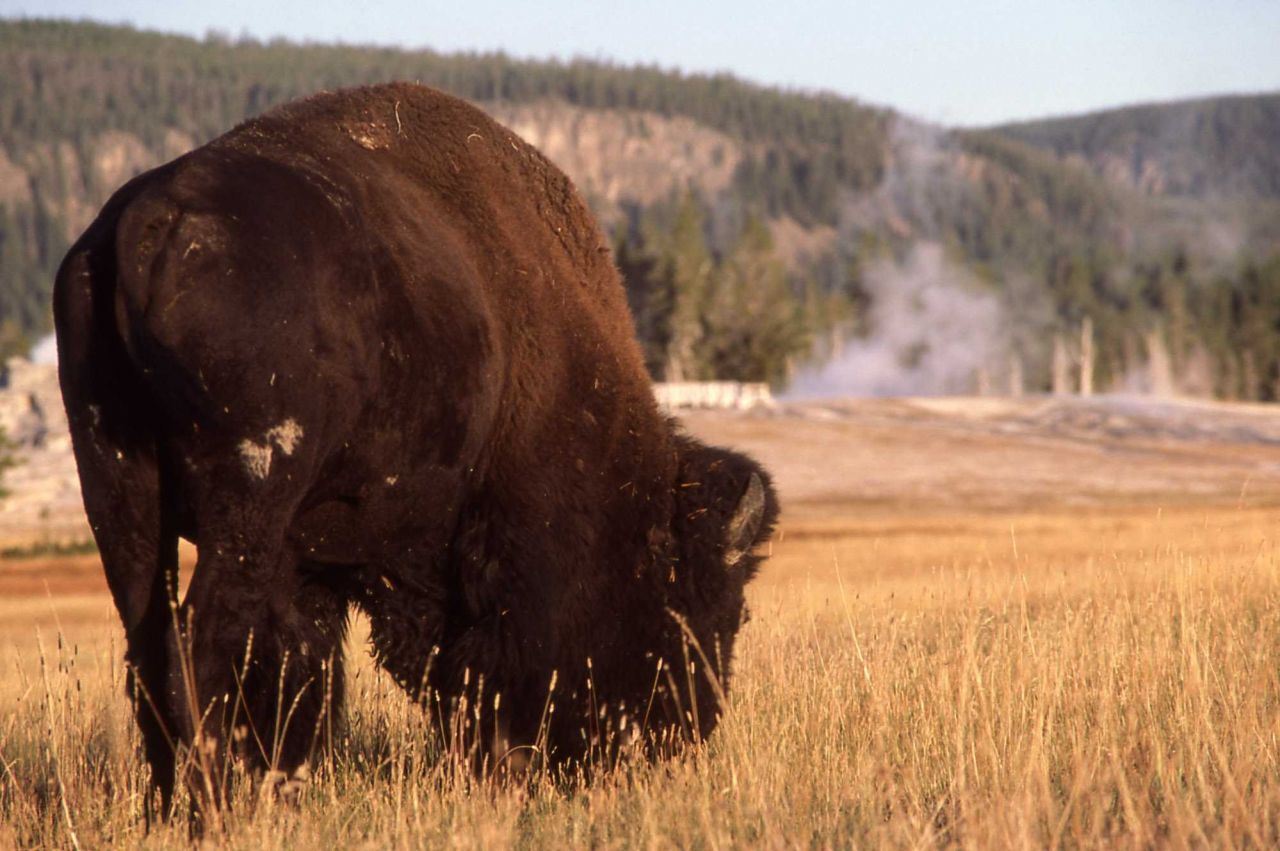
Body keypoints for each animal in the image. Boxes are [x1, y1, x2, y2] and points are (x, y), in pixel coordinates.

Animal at [54, 83, 778, 814]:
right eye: (704, 606)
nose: (686, 730)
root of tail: (148, 224)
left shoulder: (308, 560)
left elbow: (304, 667)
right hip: (246, 492)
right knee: (199, 643)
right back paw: (215, 808)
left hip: (116, 488)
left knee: (148, 646)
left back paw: (173, 803)